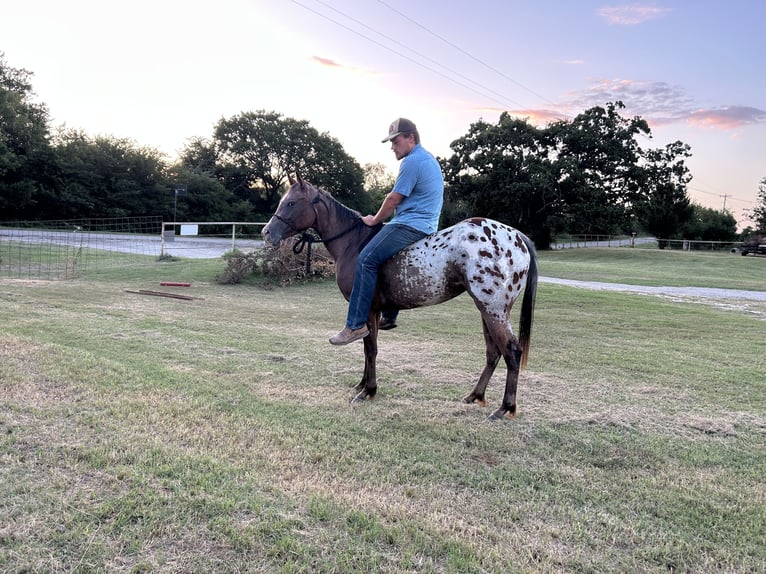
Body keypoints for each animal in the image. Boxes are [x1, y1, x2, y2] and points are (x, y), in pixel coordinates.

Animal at [262, 178, 538, 420]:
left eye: (291, 203)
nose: (266, 232)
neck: (353, 243)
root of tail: (518, 236)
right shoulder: (373, 312)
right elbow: (367, 348)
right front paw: (362, 384)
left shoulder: (367, 309)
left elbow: (370, 349)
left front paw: (368, 391)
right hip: (487, 310)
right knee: (493, 352)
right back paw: (475, 395)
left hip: (493, 309)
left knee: (512, 352)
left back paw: (505, 408)